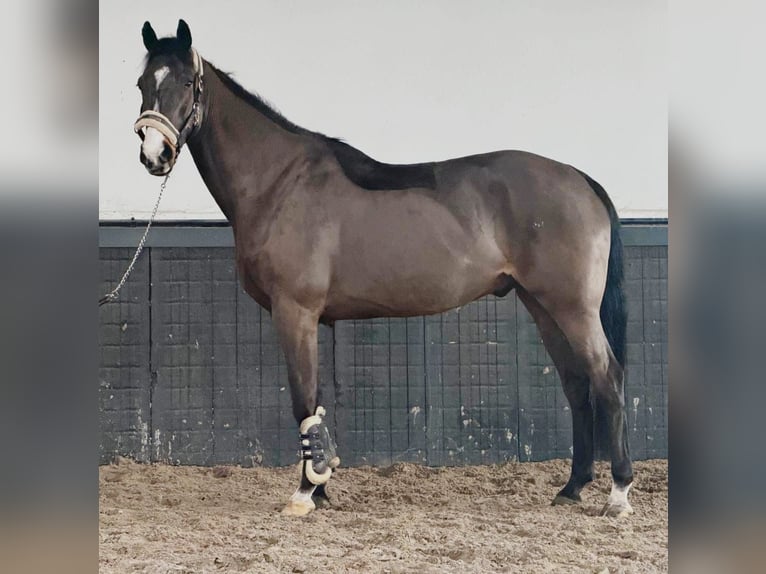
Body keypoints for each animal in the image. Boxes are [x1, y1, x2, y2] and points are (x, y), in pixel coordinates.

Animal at [134, 20, 633, 518]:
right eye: (142, 84)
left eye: (186, 82)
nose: (154, 154)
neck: (279, 181)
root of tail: (579, 178)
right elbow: (316, 401)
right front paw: (321, 487)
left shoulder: (295, 312)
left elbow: (302, 399)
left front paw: (305, 493)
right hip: (542, 305)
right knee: (576, 384)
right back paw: (572, 486)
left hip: (572, 308)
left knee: (606, 377)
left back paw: (618, 493)